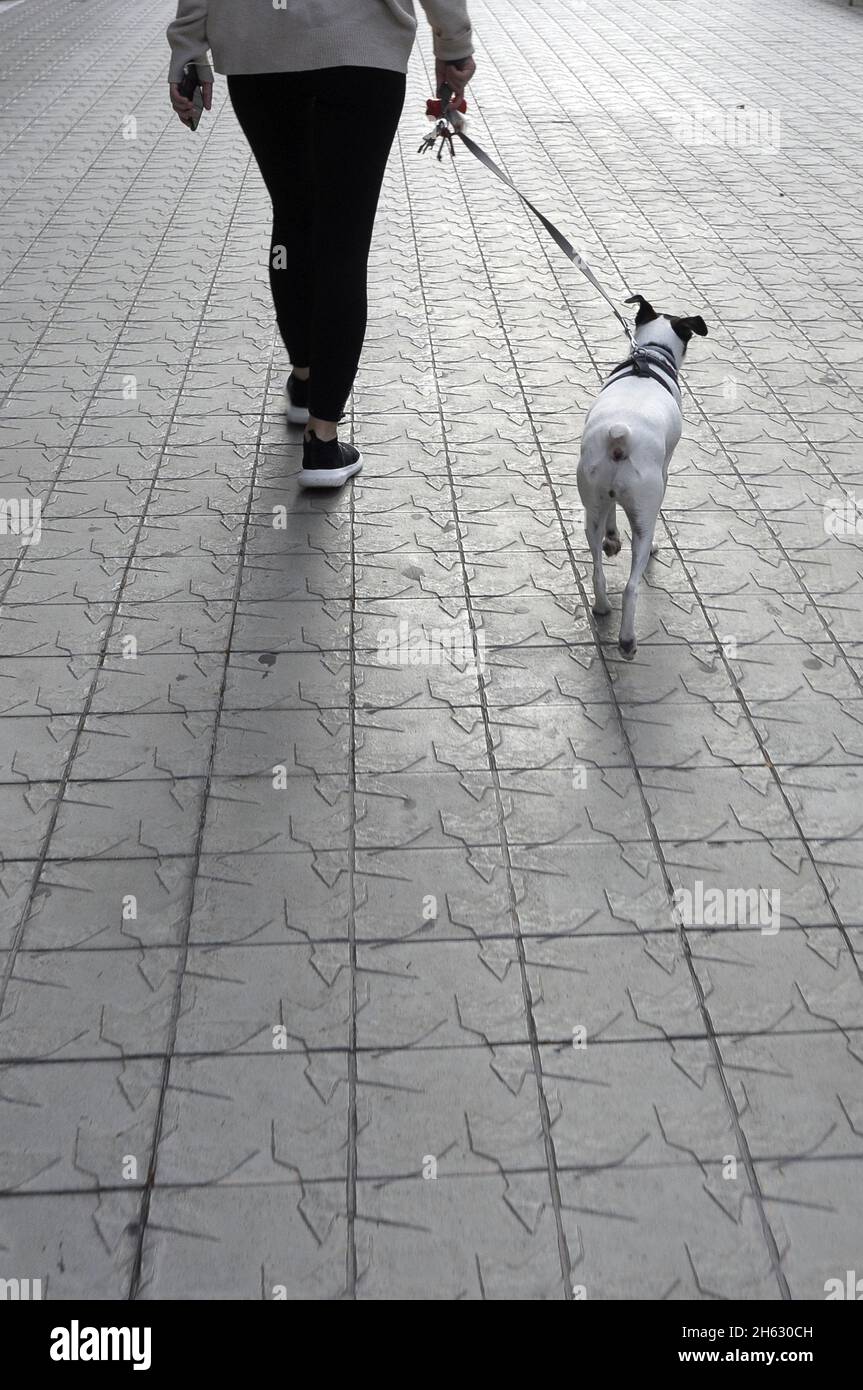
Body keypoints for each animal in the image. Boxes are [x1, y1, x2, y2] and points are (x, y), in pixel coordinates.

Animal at [572, 291, 705, 656]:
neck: (650, 356)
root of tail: (620, 436)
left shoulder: (607, 498)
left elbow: (612, 519)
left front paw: (613, 537)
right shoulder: (665, 469)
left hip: (592, 502)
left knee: (597, 570)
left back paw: (602, 605)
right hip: (645, 510)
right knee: (632, 585)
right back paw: (627, 640)